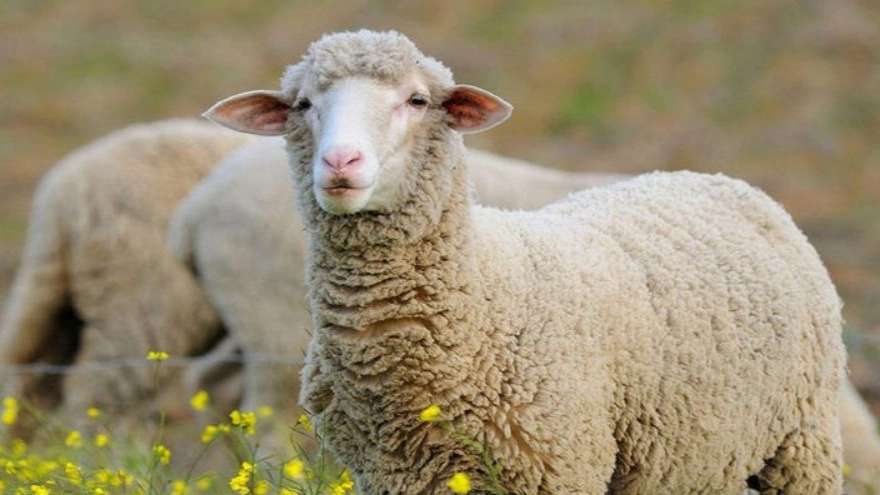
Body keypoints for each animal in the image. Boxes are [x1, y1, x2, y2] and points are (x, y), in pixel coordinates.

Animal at [203, 30, 845, 494]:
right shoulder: (391, 474)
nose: (341, 162)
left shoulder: (559, 464)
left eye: (417, 100)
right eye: (304, 104)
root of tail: (713, 177)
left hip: (804, 440)